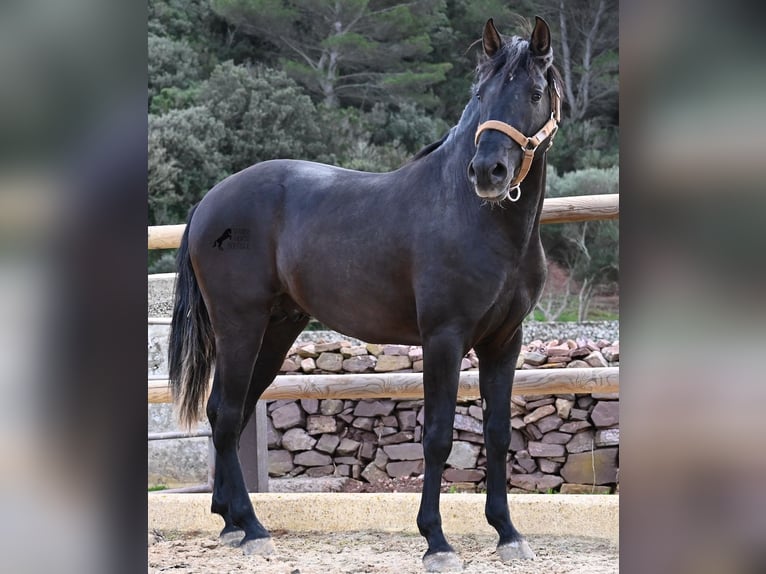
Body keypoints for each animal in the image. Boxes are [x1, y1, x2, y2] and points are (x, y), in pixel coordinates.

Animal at [170, 15, 564, 572]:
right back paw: (253, 528)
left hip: (277, 329)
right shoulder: (443, 339)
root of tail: (209, 202)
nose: (489, 172)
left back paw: (229, 523)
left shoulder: (504, 341)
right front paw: (436, 541)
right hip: (239, 325)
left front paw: (508, 534)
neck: (473, 216)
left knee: (228, 411)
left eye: (533, 93)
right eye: (480, 94)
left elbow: (499, 432)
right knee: (226, 415)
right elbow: (437, 436)